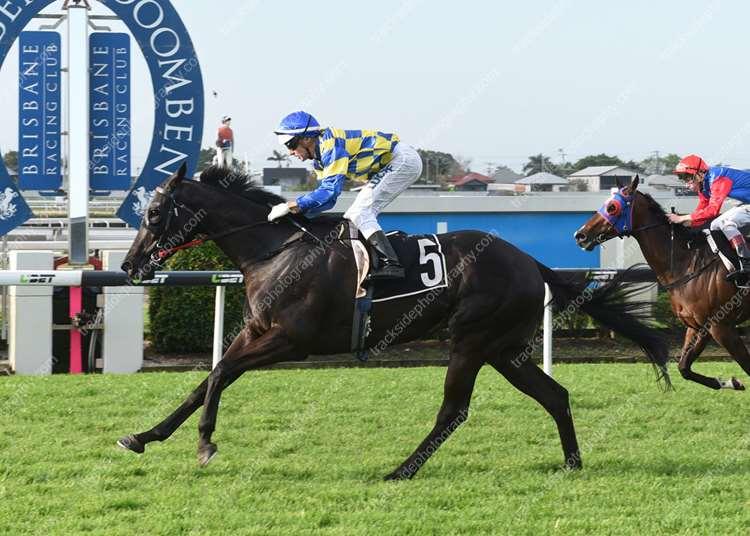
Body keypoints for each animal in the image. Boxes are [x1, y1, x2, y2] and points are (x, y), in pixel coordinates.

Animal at [118, 163, 669, 478]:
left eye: (157, 212)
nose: (129, 265)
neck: (276, 249)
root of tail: (531, 262)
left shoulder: (290, 340)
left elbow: (221, 376)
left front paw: (205, 444)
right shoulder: (257, 332)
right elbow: (207, 378)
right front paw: (142, 437)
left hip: (471, 341)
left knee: (454, 411)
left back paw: (402, 470)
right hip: (504, 349)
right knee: (554, 395)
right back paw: (572, 463)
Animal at [574, 175, 749, 391]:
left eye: (612, 207)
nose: (580, 235)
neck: (688, 262)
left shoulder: (721, 326)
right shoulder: (697, 326)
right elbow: (684, 368)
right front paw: (732, 382)